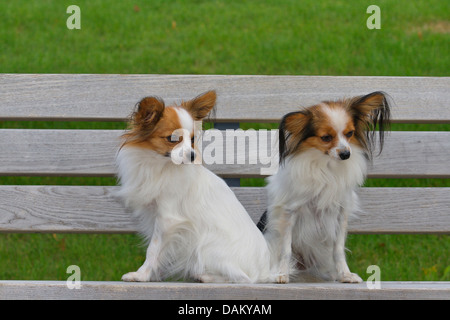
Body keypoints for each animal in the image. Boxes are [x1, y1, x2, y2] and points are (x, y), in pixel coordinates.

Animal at [116, 90, 274, 282]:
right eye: (172, 139)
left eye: (192, 140)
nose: (192, 155)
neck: (162, 166)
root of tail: (265, 272)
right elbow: (162, 252)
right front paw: (154, 274)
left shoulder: (168, 219)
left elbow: (153, 250)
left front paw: (141, 275)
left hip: (208, 246)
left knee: (242, 278)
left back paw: (204, 276)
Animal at [256, 91, 390, 284]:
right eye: (326, 137)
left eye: (349, 133)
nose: (346, 154)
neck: (326, 167)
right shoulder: (289, 213)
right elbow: (286, 250)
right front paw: (281, 274)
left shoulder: (340, 214)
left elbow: (338, 250)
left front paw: (345, 274)